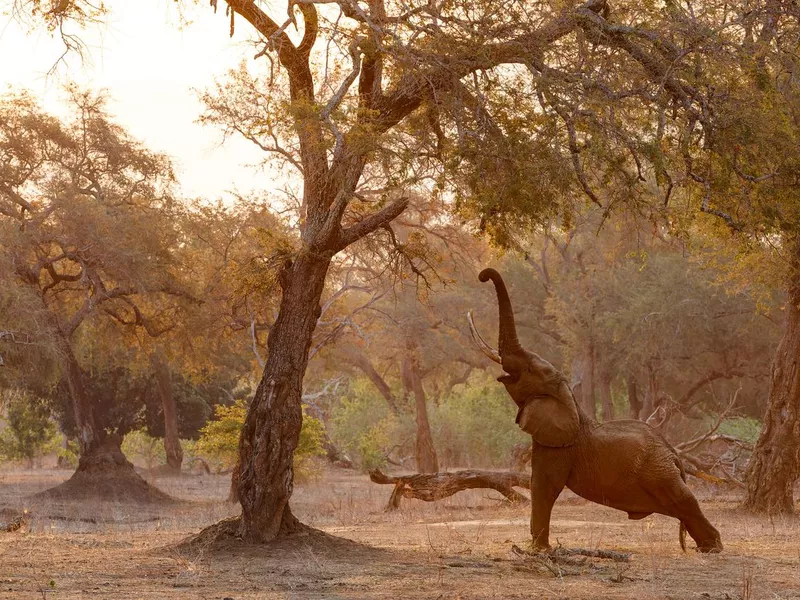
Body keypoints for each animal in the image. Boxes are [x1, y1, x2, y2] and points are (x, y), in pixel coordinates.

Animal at [468, 268, 724, 552]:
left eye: (531, 370)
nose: (482, 276)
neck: (570, 401)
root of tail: (674, 453)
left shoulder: (560, 447)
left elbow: (544, 486)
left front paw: (540, 550)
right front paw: (539, 549)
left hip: (660, 472)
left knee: (686, 501)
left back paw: (712, 548)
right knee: (681, 507)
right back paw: (705, 547)